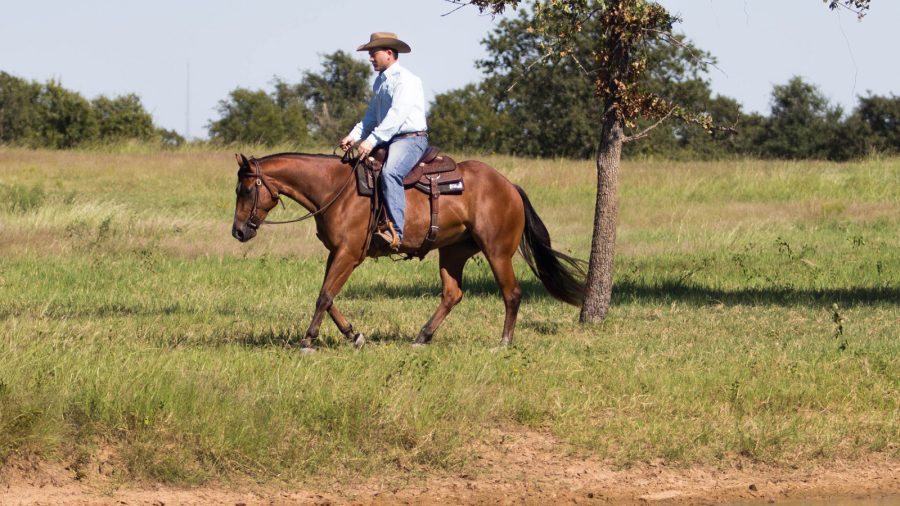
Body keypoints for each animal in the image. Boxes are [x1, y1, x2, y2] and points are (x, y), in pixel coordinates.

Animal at [231, 151, 585, 349]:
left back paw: (503, 343)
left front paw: (308, 340)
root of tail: (509, 186)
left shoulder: (349, 254)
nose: (238, 231)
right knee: (452, 294)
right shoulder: (339, 253)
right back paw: (422, 337)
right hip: (453, 253)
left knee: (512, 293)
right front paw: (353, 335)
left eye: (246, 189)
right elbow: (327, 296)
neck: (336, 190)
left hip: (497, 252)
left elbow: (324, 296)